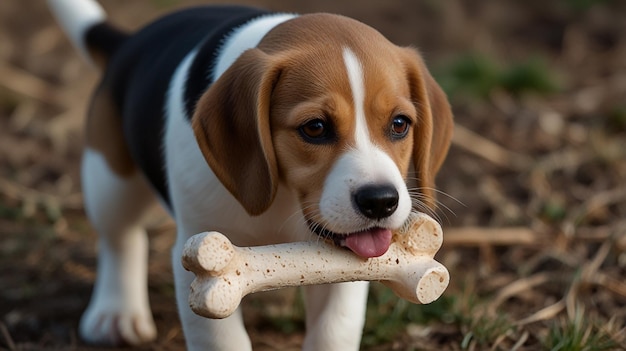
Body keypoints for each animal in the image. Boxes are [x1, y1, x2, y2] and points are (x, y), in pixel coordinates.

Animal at [46, 0, 450, 350]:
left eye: (399, 124)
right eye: (315, 128)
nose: (381, 201)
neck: (283, 198)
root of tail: (128, 43)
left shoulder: (345, 267)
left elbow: (334, 329)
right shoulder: (202, 260)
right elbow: (222, 338)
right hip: (110, 179)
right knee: (121, 238)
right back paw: (116, 312)